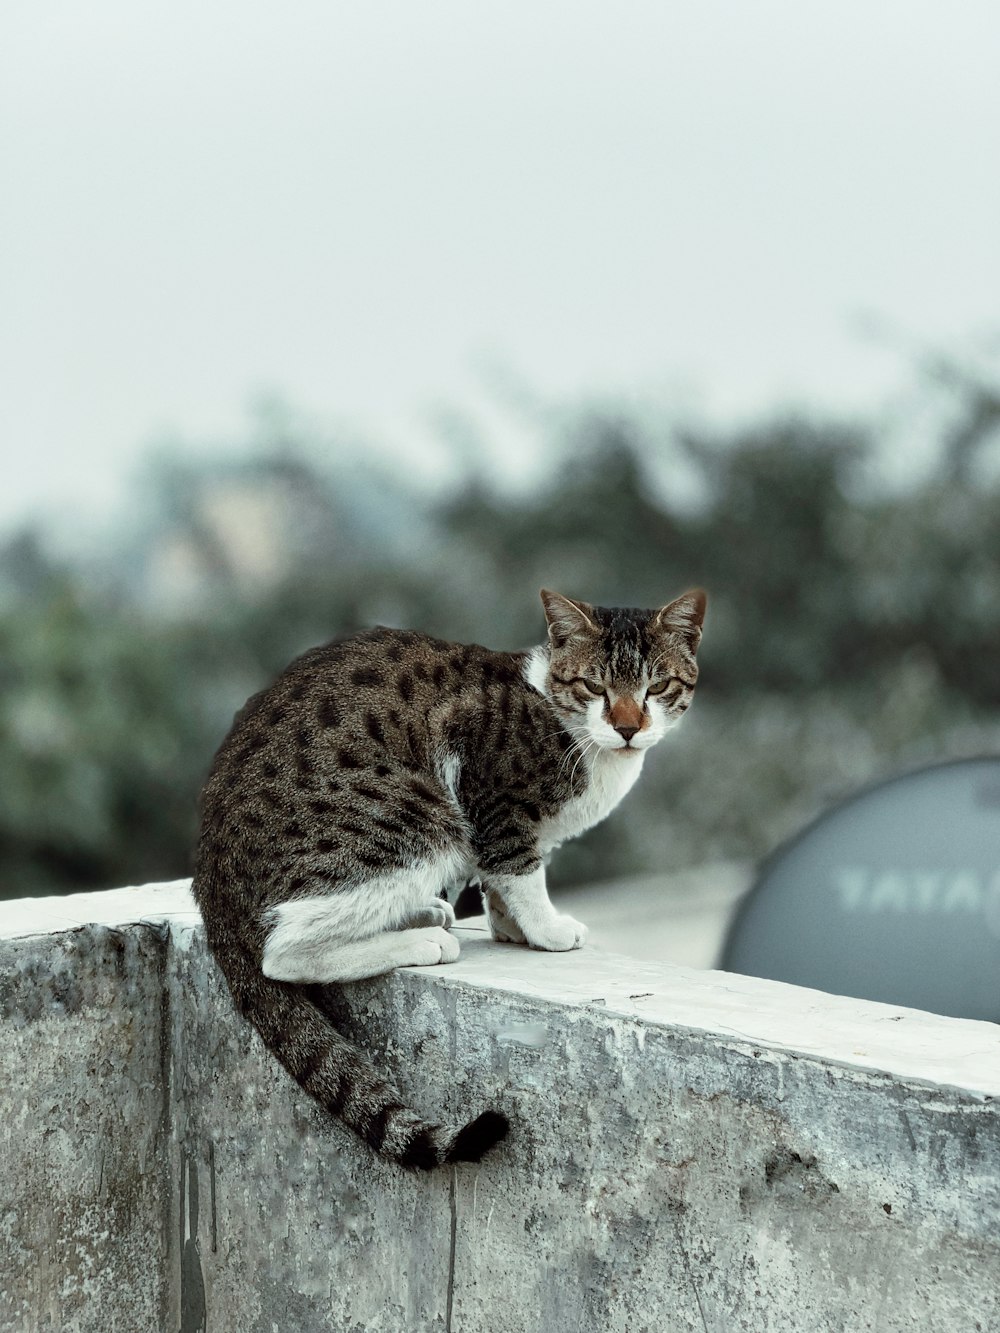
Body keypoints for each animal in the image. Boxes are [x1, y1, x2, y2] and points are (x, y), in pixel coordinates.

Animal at [193, 589, 704, 1173]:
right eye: (595, 687)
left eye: (656, 688)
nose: (627, 727)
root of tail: (210, 879)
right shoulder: (493, 794)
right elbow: (518, 869)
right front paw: (548, 930)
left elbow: (500, 880)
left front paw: (511, 928)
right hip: (418, 820)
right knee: (283, 951)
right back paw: (423, 941)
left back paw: (422, 914)